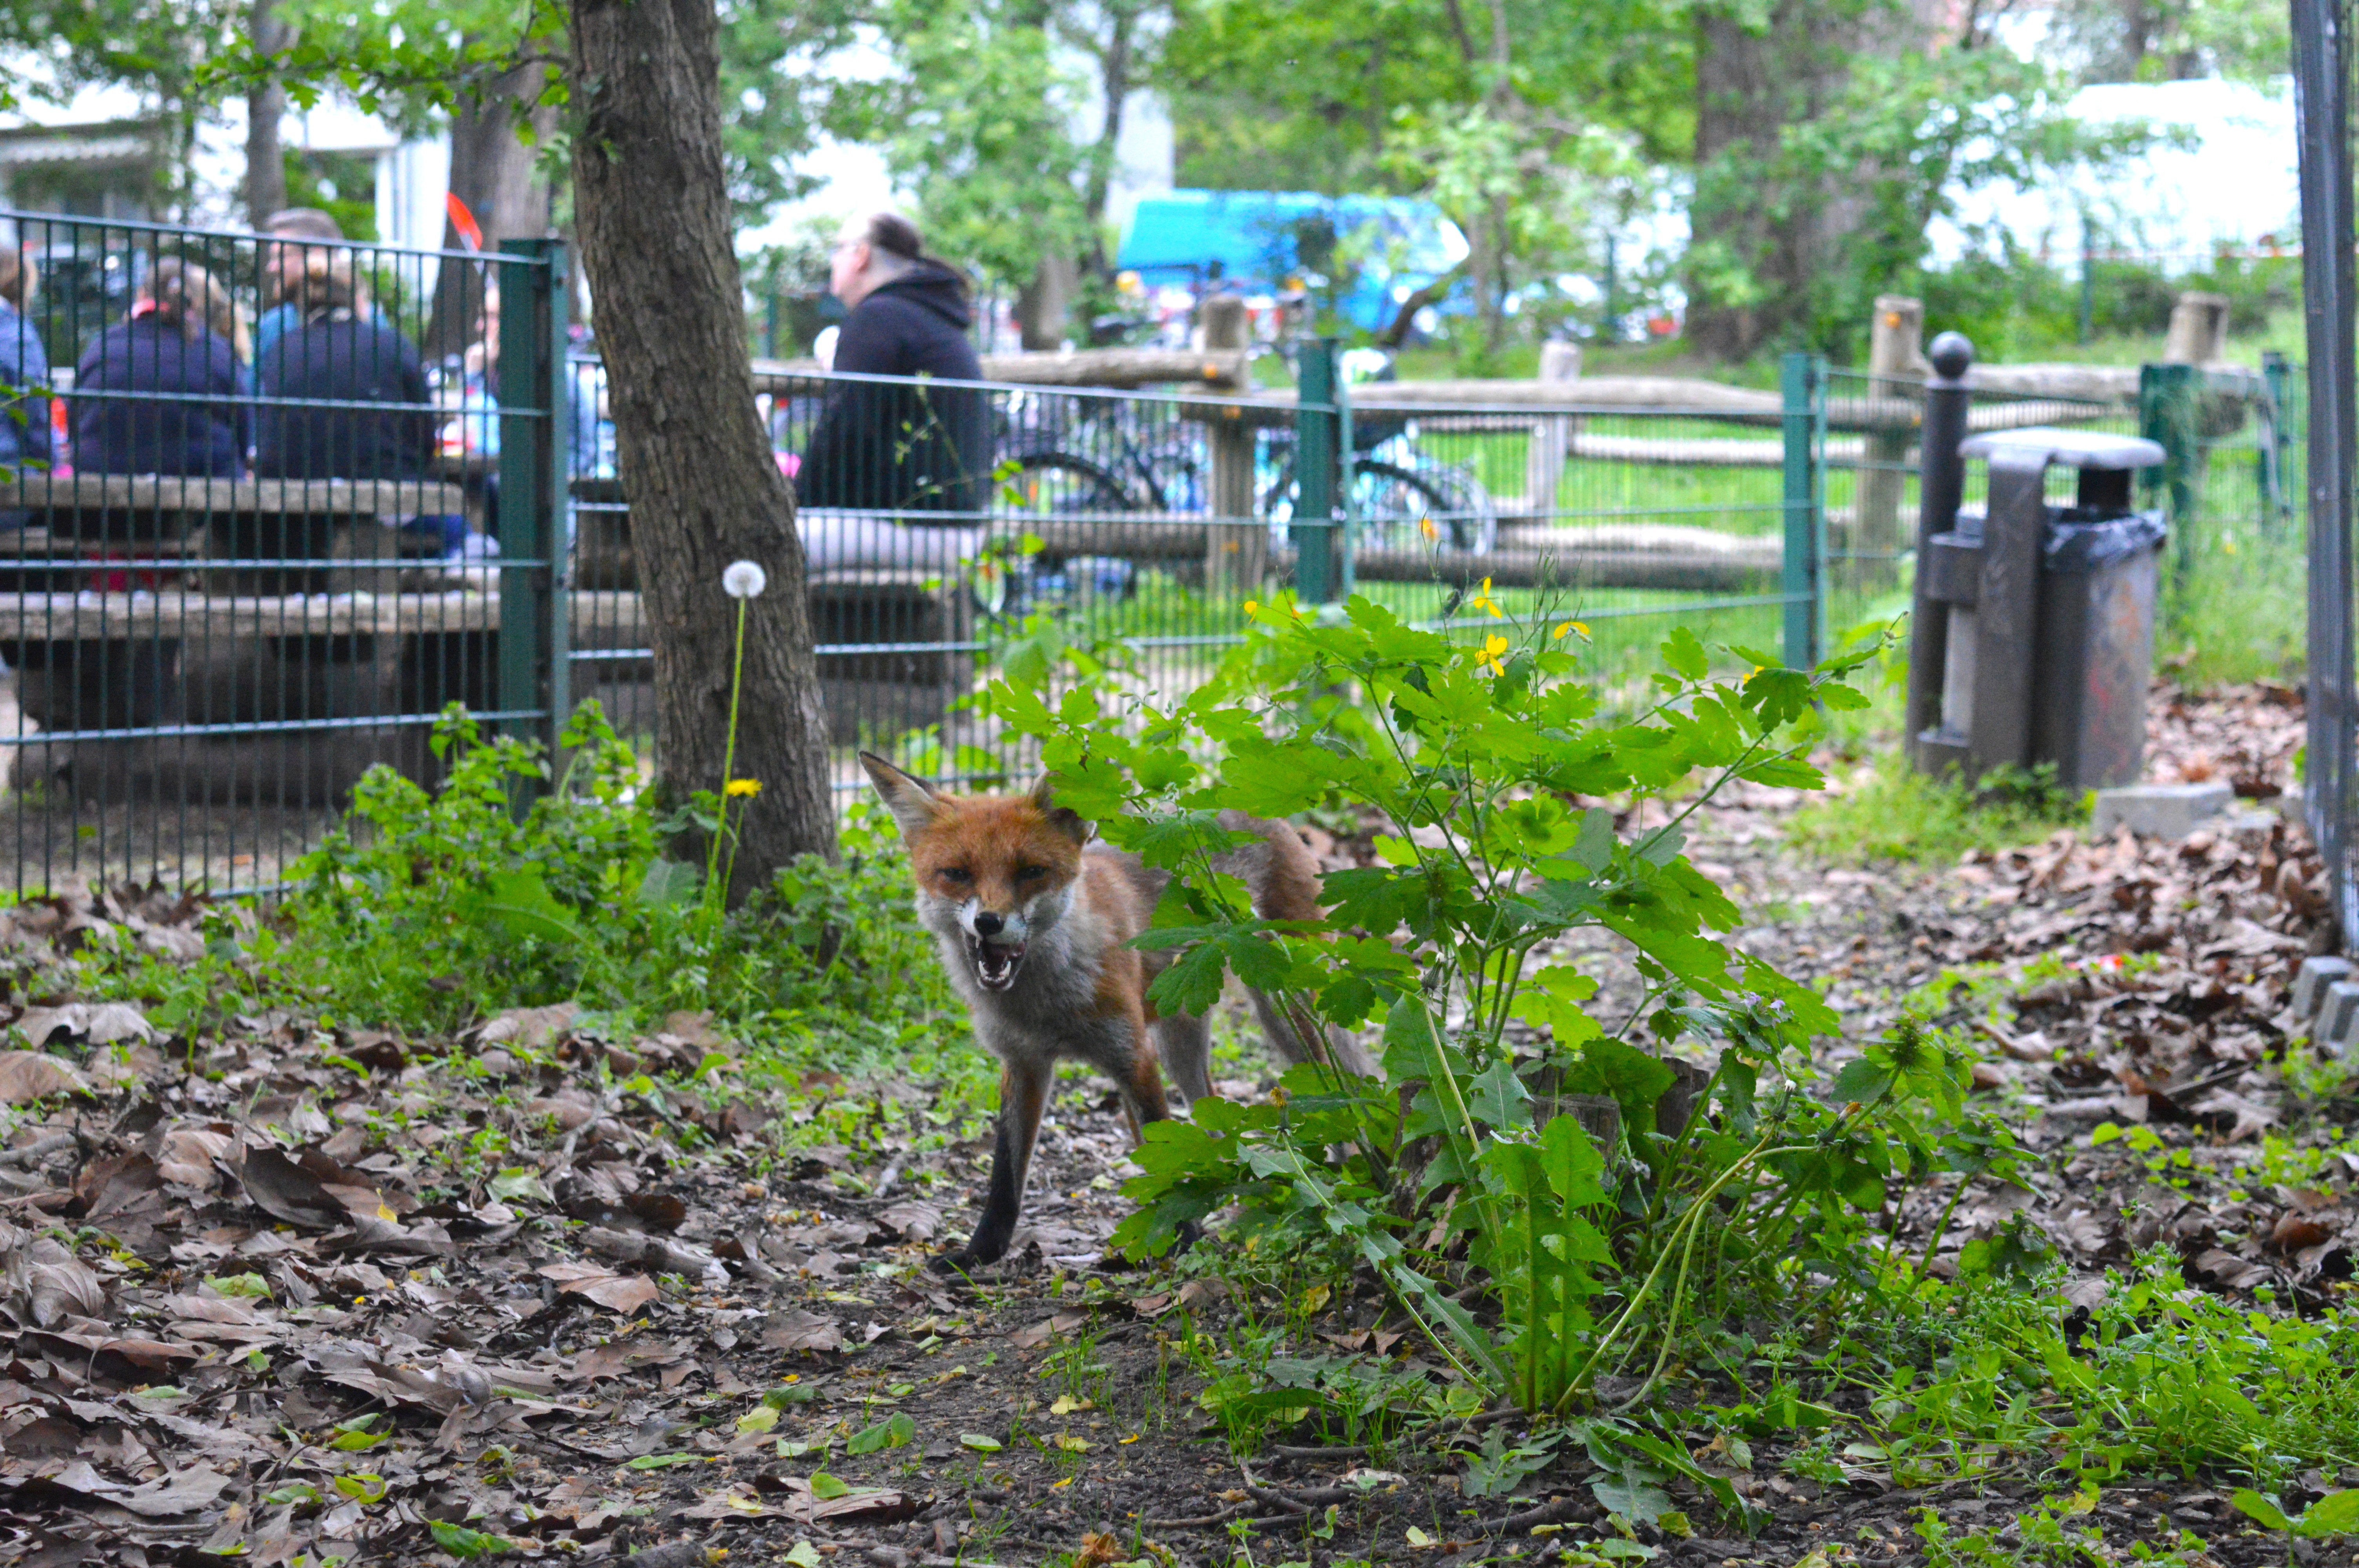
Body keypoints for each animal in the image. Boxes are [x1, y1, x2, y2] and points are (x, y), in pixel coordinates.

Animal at [859, 752, 1375, 1271]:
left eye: (1030, 871)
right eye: (956, 873)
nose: (989, 922)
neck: (1044, 1008)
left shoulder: (1133, 1056)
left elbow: (1164, 1160)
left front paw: (1183, 1244)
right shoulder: (1023, 1063)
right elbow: (1005, 1176)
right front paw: (979, 1253)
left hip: (1288, 1013)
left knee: (1338, 1094)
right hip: (1180, 1041)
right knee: (1213, 1120)